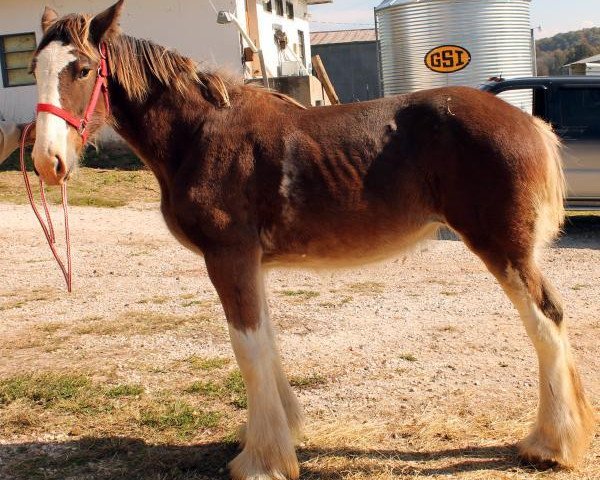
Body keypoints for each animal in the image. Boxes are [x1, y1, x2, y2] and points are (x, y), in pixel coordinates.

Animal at [30, 1, 592, 478]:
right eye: (32, 66)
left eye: (83, 69)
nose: (46, 162)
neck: (202, 136)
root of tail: (530, 123)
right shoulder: (249, 264)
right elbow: (266, 344)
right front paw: (283, 436)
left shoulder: (228, 258)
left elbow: (246, 349)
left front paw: (261, 461)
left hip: (504, 248)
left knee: (546, 320)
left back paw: (551, 444)